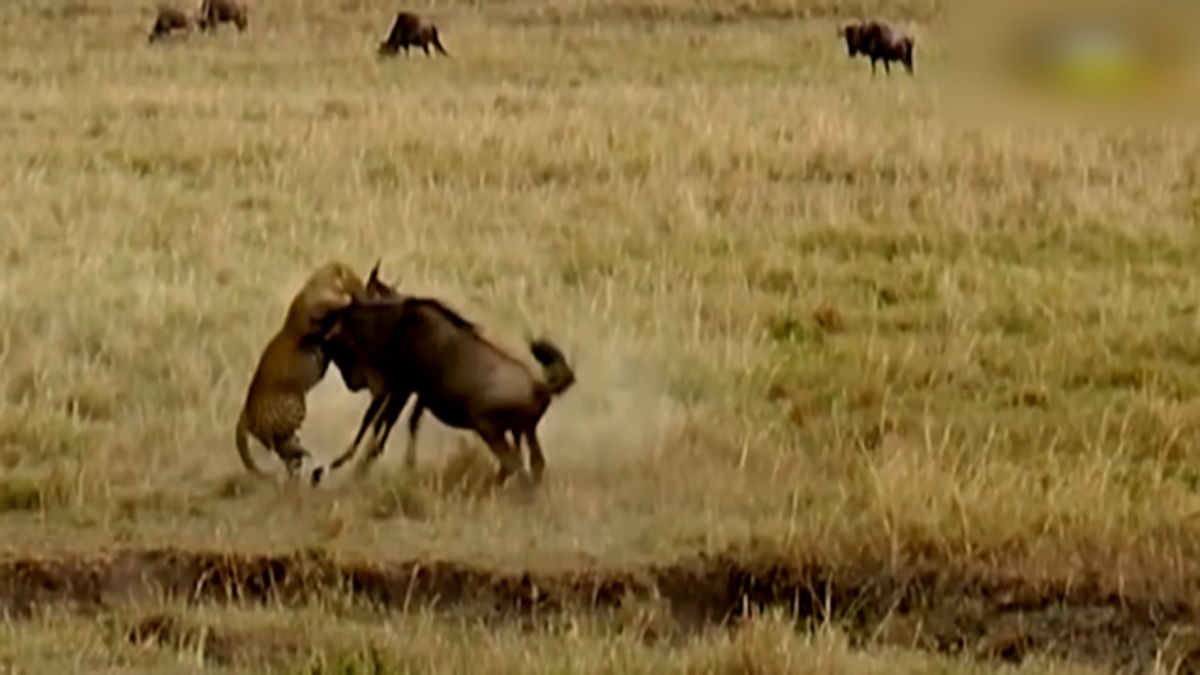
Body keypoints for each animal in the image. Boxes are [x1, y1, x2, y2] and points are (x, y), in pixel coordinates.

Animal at [232, 258, 364, 478]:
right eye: (358, 281)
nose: (362, 289)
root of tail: (246, 412)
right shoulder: (310, 314)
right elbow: (327, 306)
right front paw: (345, 299)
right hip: (296, 406)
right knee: (280, 446)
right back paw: (302, 455)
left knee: (284, 452)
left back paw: (300, 458)